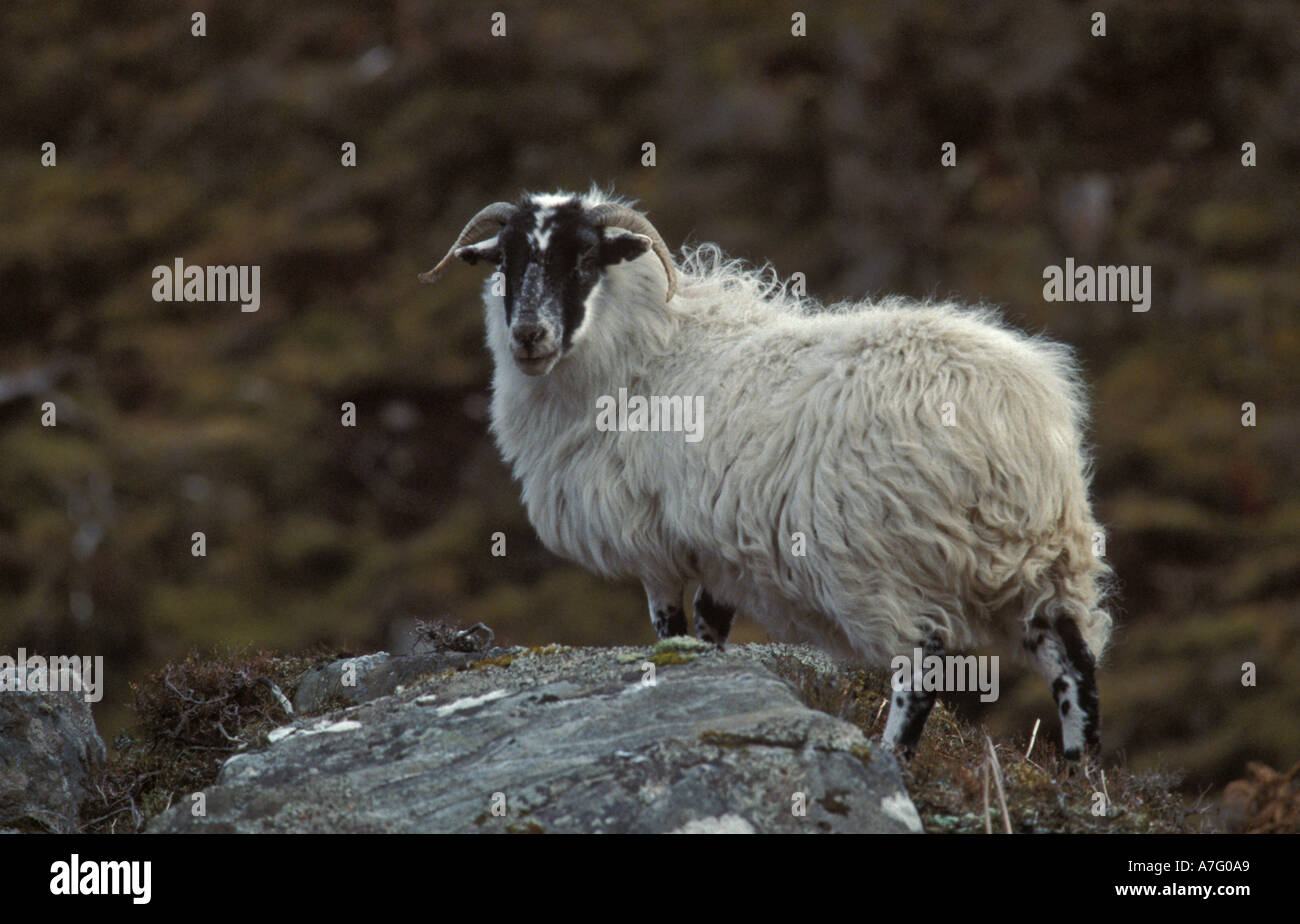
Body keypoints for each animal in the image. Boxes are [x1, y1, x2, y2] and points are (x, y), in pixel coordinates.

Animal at [421, 184, 1112, 764]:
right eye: (506, 261)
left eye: (586, 259)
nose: (528, 336)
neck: (644, 354)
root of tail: (1008, 412)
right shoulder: (722, 548)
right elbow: (711, 632)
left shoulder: (655, 545)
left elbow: (671, 631)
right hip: (1042, 552)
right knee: (1073, 660)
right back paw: (1081, 776)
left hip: (886, 560)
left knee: (922, 670)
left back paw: (891, 757)